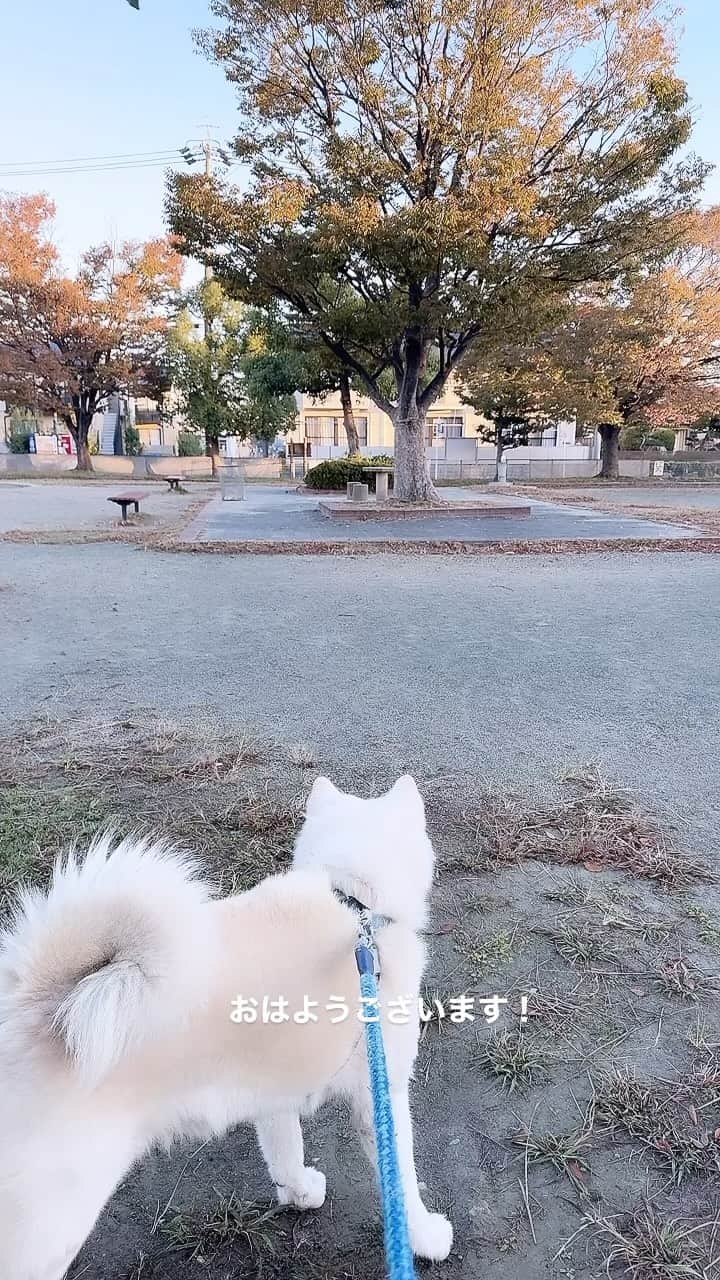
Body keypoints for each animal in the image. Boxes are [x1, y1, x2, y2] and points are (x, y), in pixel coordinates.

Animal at [0, 773, 448, 1280]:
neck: (354, 901)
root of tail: (35, 1013)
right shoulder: (381, 1093)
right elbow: (402, 1181)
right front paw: (426, 1237)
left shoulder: (272, 1093)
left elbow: (285, 1154)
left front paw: (299, 1193)